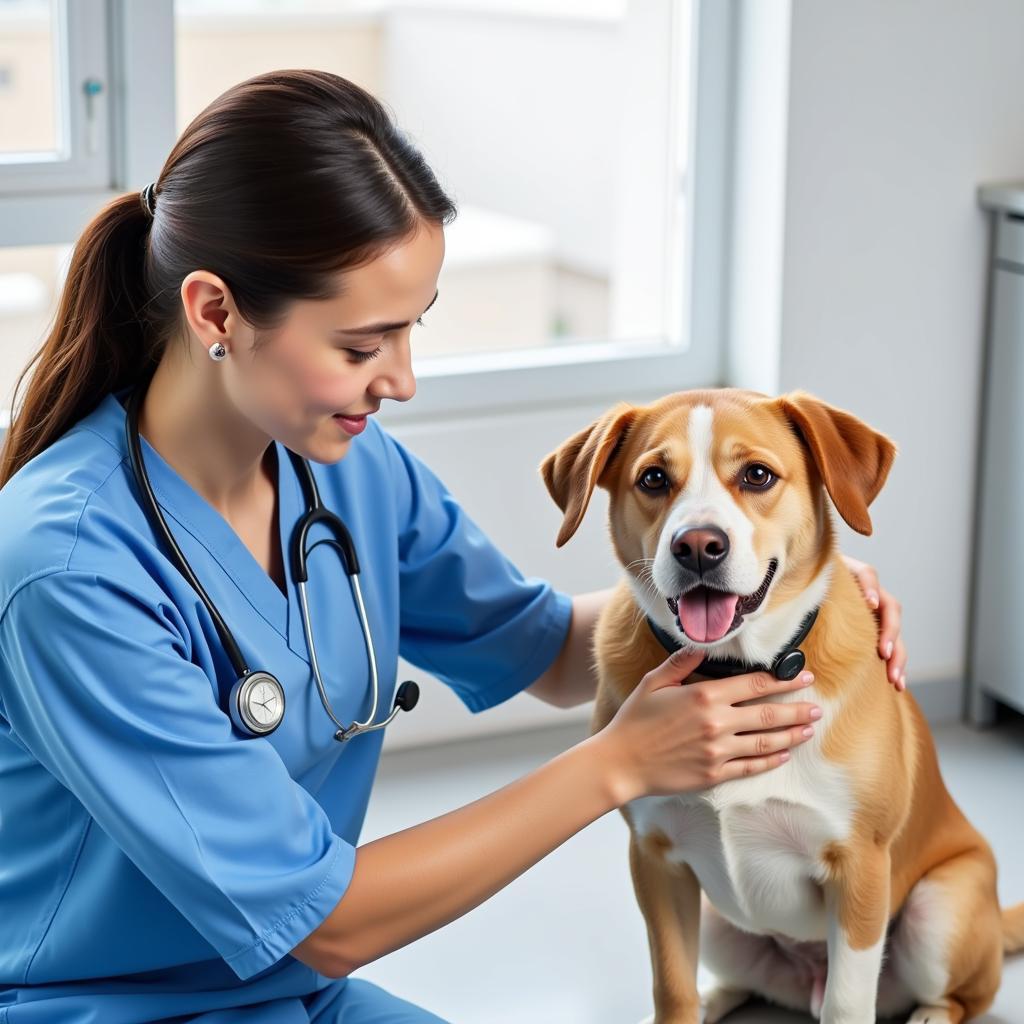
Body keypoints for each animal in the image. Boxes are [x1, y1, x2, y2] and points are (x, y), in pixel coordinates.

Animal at [540, 389, 1019, 1024]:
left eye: (757, 475)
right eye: (654, 478)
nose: (698, 546)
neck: (732, 672)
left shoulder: (860, 869)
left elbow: (847, 1002)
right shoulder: (655, 861)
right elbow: (673, 988)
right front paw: (678, 1004)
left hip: (937, 913)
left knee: (960, 996)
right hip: (719, 925)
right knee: (740, 984)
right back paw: (718, 996)